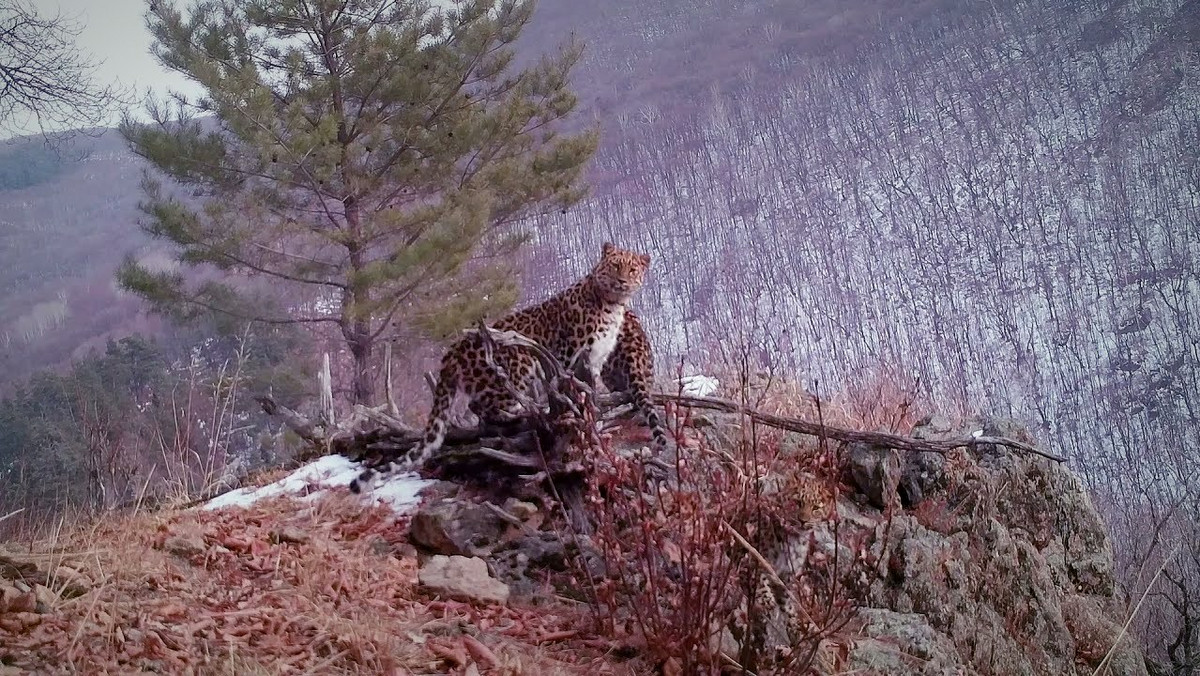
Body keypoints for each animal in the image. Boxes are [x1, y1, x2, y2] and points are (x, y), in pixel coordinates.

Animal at [350, 243, 657, 492]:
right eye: (615, 265)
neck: (613, 306)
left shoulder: (593, 362)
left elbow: (589, 393)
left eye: (632, 269)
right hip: (513, 368)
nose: (621, 281)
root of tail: (452, 351)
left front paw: (595, 414)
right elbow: (570, 388)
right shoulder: (568, 357)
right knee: (484, 407)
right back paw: (520, 412)